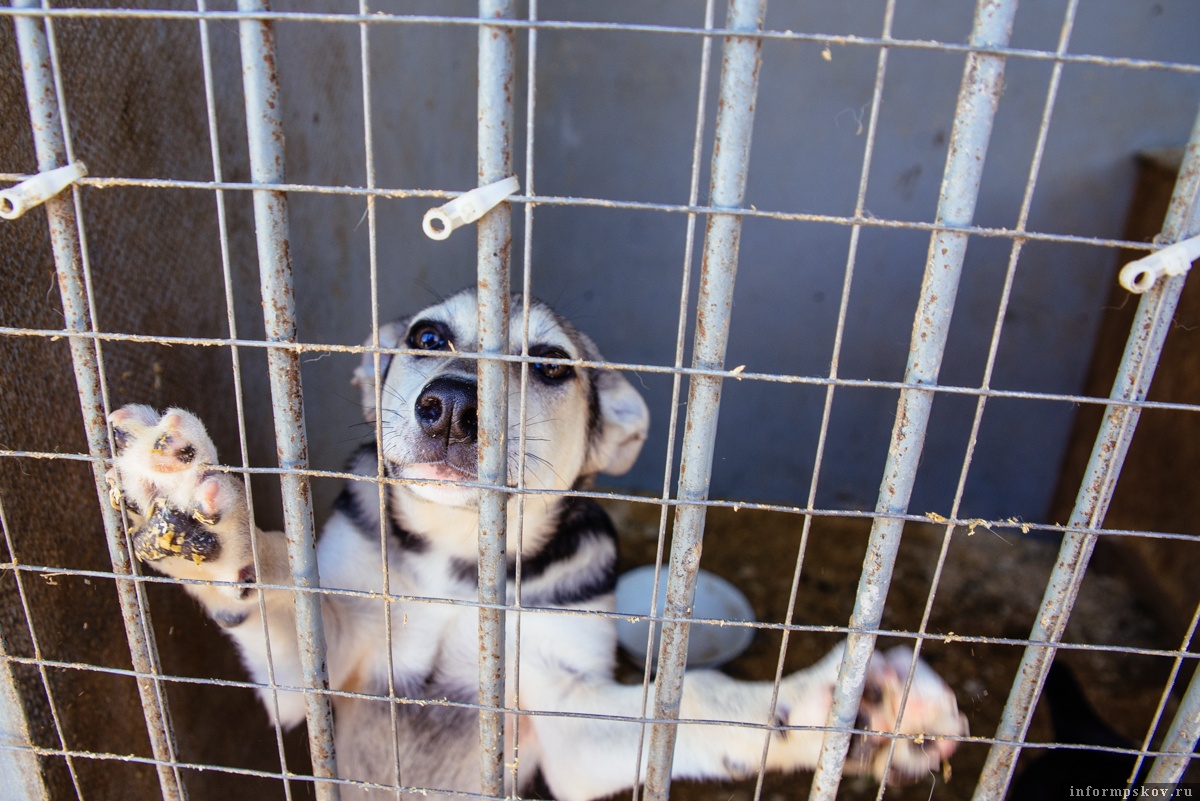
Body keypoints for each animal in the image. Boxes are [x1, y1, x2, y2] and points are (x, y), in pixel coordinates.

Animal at [100, 288, 964, 801]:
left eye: (549, 364)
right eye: (428, 334)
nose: (451, 404)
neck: (460, 562)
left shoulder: (571, 723)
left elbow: (700, 704)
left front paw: (848, 709)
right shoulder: (320, 673)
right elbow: (282, 581)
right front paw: (200, 516)